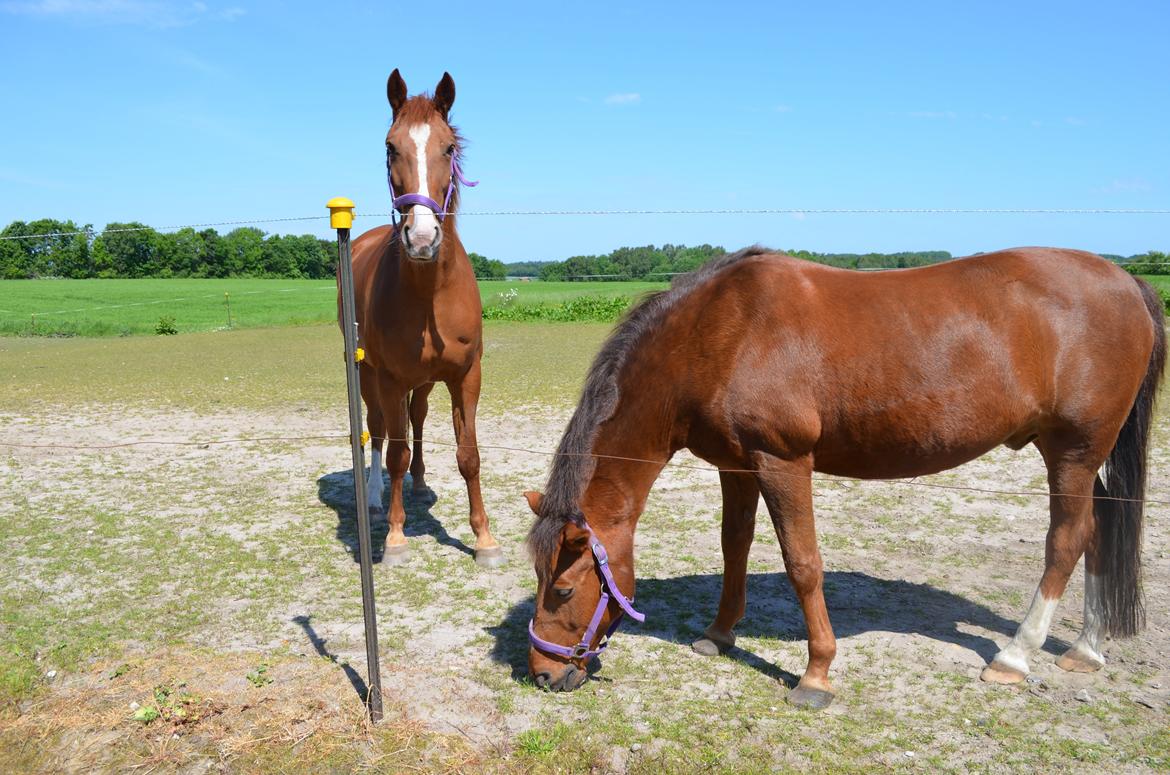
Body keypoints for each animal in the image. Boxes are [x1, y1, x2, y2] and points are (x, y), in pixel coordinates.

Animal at [339, 71, 503, 571]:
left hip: (427, 381)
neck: (430, 292)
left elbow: (468, 454)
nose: (423, 237)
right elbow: (393, 451)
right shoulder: (391, 377)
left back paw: (420, 481)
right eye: (390, 146)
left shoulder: (466, 375)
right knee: (378, 430)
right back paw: (375, 497)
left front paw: (485, 538)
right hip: (367, 373)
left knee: (416, 418)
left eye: (448, 148)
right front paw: (395, 538)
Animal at [528, 249, 1160, 711]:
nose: (542, 675)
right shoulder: (737, 465)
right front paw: (719, 633)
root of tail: (1127, 281)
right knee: (1100, 534)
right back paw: (1086, 649)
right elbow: (735, 547)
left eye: (562, 590)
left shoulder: (782, 461)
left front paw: (816, 674)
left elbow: (803, 564)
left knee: (1067, 541)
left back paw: (1014, 657)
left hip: (1072, 452)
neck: (721, 333)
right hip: (1088, 460)